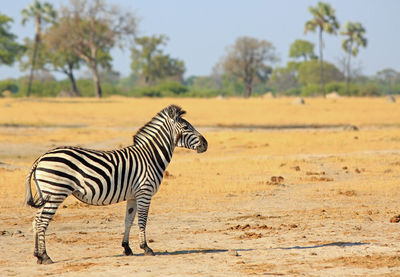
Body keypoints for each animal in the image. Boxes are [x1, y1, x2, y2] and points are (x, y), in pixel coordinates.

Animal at [24, 104, 209, 264]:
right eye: (186, 127)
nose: (206, 144)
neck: (150, 156)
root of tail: (41, 157)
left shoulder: (133, 196)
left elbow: (129, 220)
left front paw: (127, 248)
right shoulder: (145, 192)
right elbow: (142, 221)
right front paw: (146, 248)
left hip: (47, 193)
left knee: (36, 220)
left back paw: (37, 255)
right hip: (56, 192)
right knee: (42, 222)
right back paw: (45, 256)